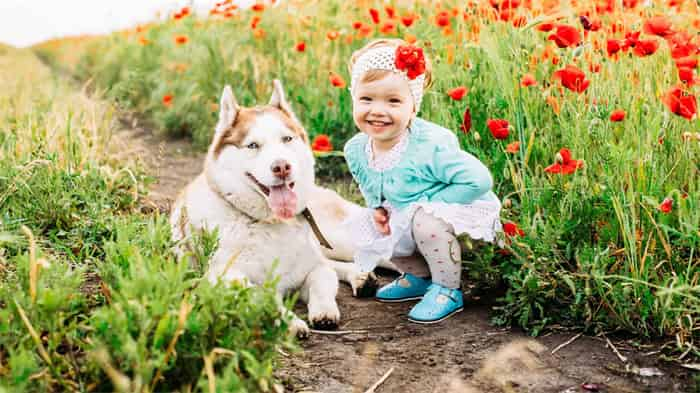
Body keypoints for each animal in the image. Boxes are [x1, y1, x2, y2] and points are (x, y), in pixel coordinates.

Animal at [170, 81, 378, 336]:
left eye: (286, 139)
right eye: (252, 145)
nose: (282, 167)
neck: (269, 222)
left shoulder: (314, 269)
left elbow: (322, 282)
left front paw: (324, 311)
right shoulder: (224, 278)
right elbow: (260, 296)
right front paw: (290, 321)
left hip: (343, 240)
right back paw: (359, 276)